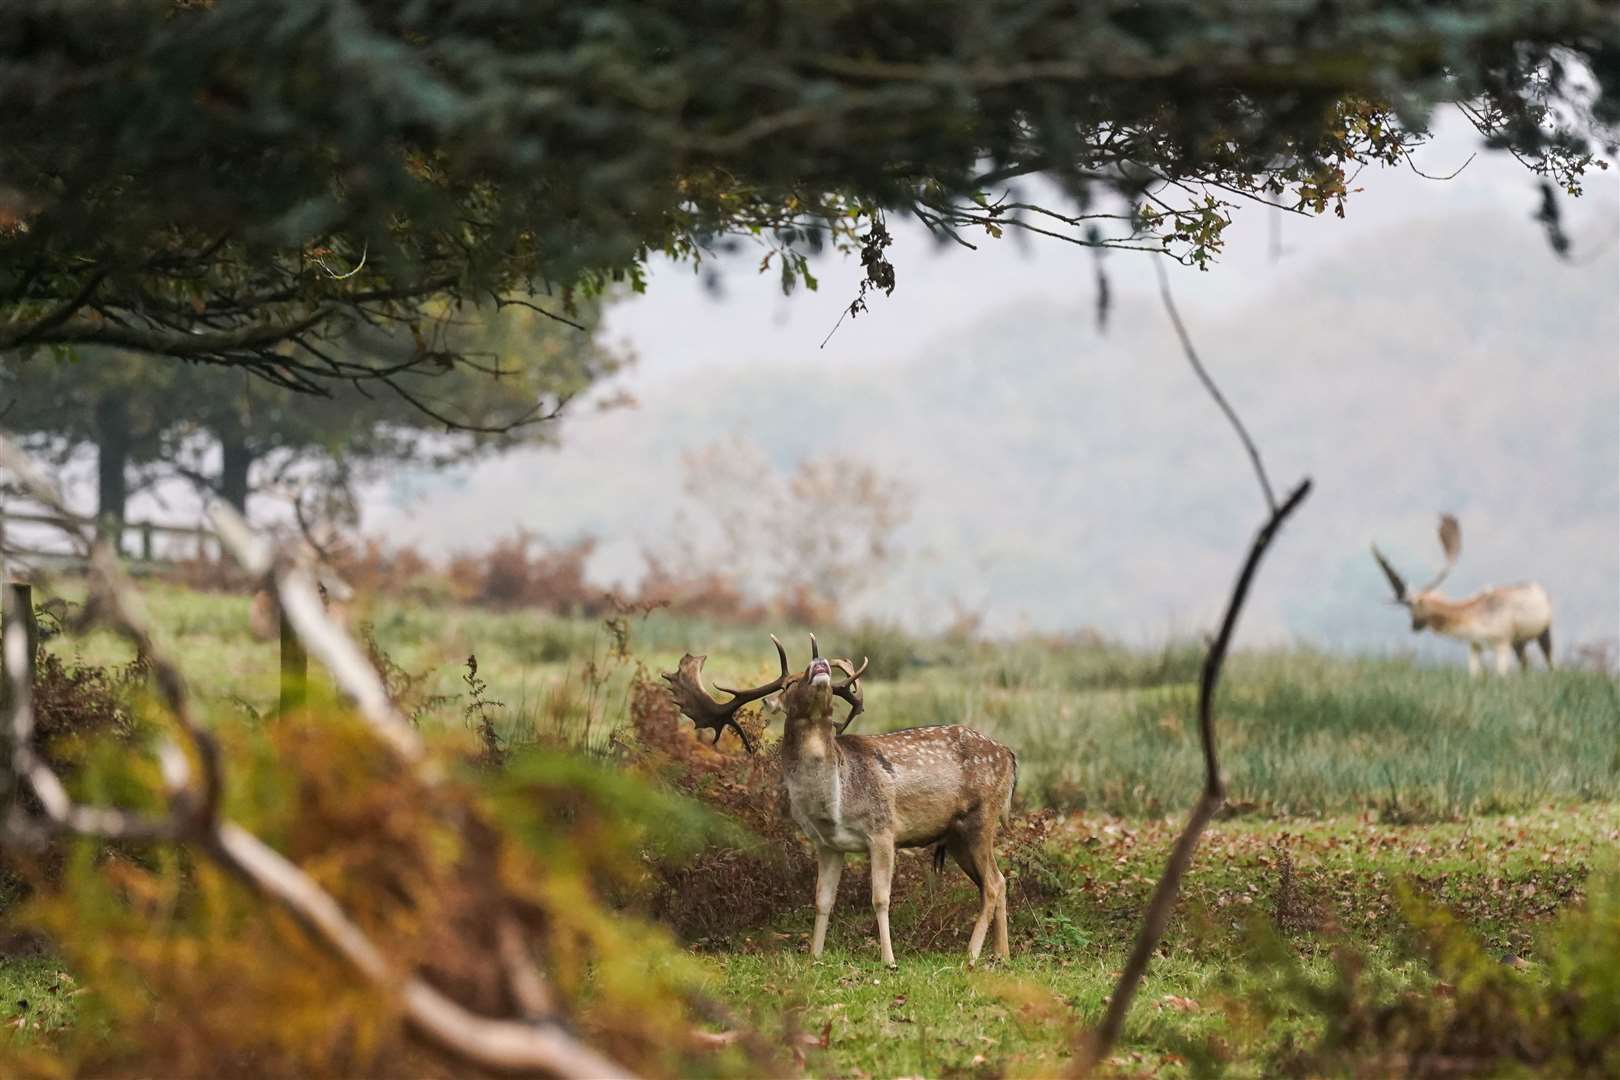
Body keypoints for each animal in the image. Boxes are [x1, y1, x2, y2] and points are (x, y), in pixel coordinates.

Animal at [657, 637, 1010, 965]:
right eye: (788, 684)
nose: (819, 663)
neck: (835, 804)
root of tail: (1009, 754)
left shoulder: (883, 829)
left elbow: (880, 897)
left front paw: (889, 960)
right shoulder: (827, 844)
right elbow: (822, 899)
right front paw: (815, 955)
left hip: (981, 818)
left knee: (992, 884)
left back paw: (972, 954)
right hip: (957, 836)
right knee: (998, 881)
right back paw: (1001, 955)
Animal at [1373, 514, 1548, 676]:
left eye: (1414, 608)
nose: (1413, 627)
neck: (1471, 617)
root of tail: (1539, 589)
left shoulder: (1502, 642)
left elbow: (1501, 675)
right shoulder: (1474, 645)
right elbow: (1474, 675)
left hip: (1543, 632)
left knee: (1548, 661)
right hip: (1519, 642)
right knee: (1526, 663)